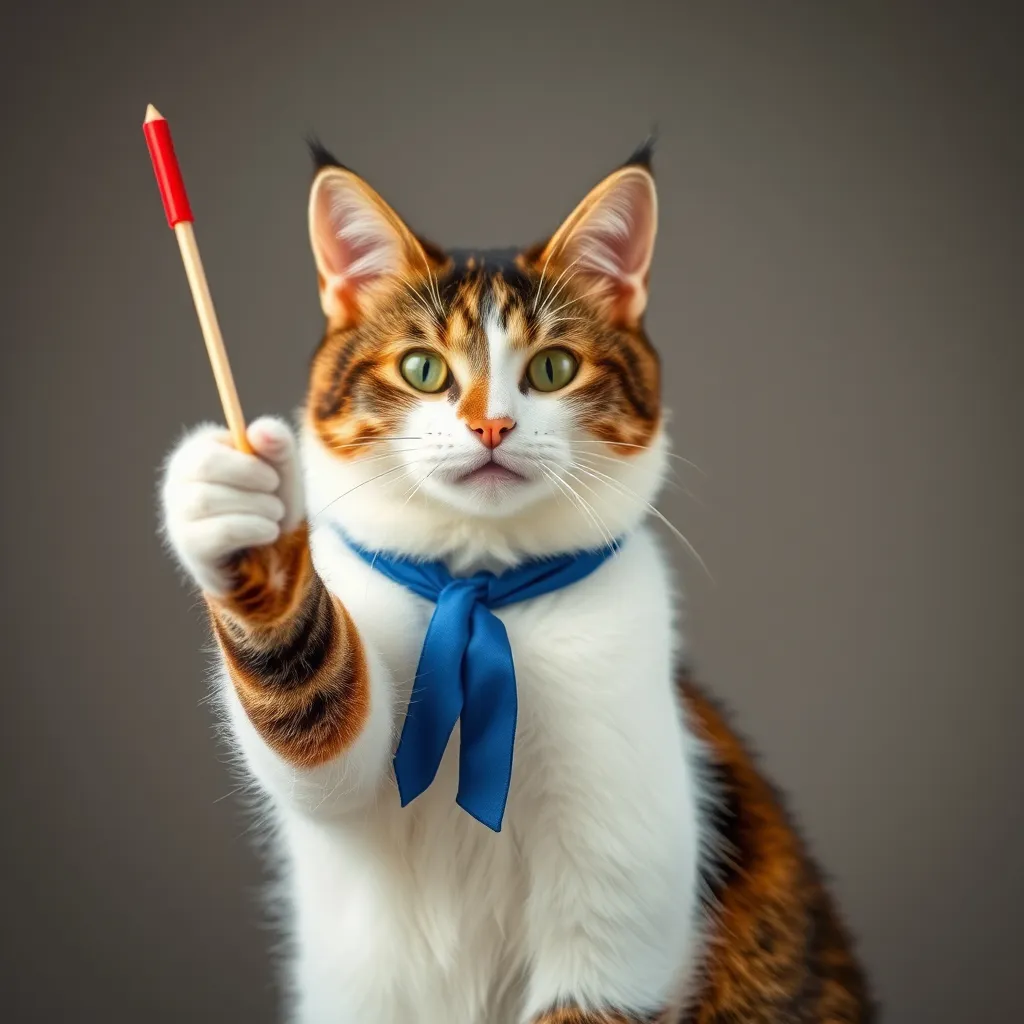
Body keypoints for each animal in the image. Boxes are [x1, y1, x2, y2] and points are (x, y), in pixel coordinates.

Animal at [157, 138, 872, 1024]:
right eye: (423, 369)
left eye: (554, 367)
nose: (490, 425)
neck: (482, 592)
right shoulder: (347, 760)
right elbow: (318, 731)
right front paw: (235, 510)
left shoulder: (613, 924)